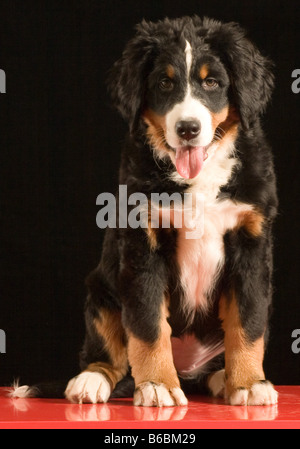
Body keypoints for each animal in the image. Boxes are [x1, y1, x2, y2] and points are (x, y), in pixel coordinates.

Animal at [12, 15, 278, 404]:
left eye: (211, 82)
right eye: (164, 83)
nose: (188, 129)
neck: (198, 177)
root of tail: (188, 370)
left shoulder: (251, 241)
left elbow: (248, 321)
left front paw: (248, 383)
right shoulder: (142, 242)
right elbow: (148, 325)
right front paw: (157, 386)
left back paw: (221, 378)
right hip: (100, 293)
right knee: (108, 356)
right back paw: (90, 381)